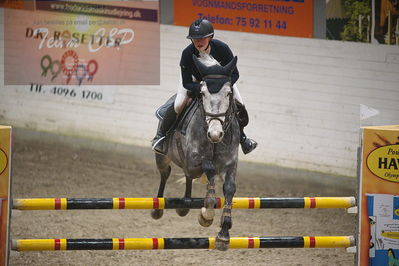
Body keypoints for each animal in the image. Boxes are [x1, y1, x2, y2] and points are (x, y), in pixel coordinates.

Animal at [151, 53, 241, 250]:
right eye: (203, 93)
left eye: (228, 93)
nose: (215, 133)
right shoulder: (194, 160)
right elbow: (209, 168)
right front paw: (207, 214)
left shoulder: (230, 163)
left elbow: (229, 188)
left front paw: (223, 234)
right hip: (162, 157)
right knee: (165, 173)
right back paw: (157, 209)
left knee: (187, 177)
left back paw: (184, 206)